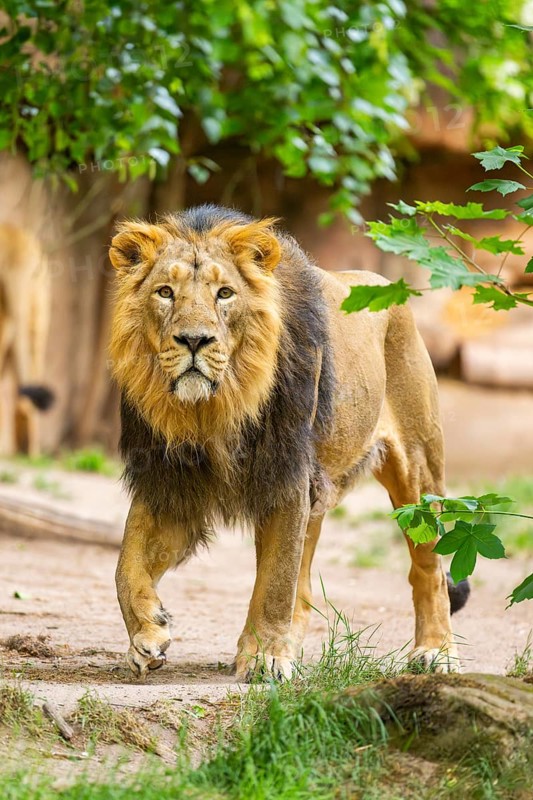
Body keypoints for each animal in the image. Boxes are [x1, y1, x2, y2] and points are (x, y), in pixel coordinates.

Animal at [108, 204, 468, 681]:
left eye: (225, 293)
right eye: (165, 292)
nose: (194, 340)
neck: (212, 409)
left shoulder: (286, 475)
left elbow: (276, 580)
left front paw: (265, 658)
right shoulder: (169, 480)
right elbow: (126, 564)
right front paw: (147, 634)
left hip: (418, 469)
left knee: (429, 568)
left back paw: (435, 652)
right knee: (305, 579)